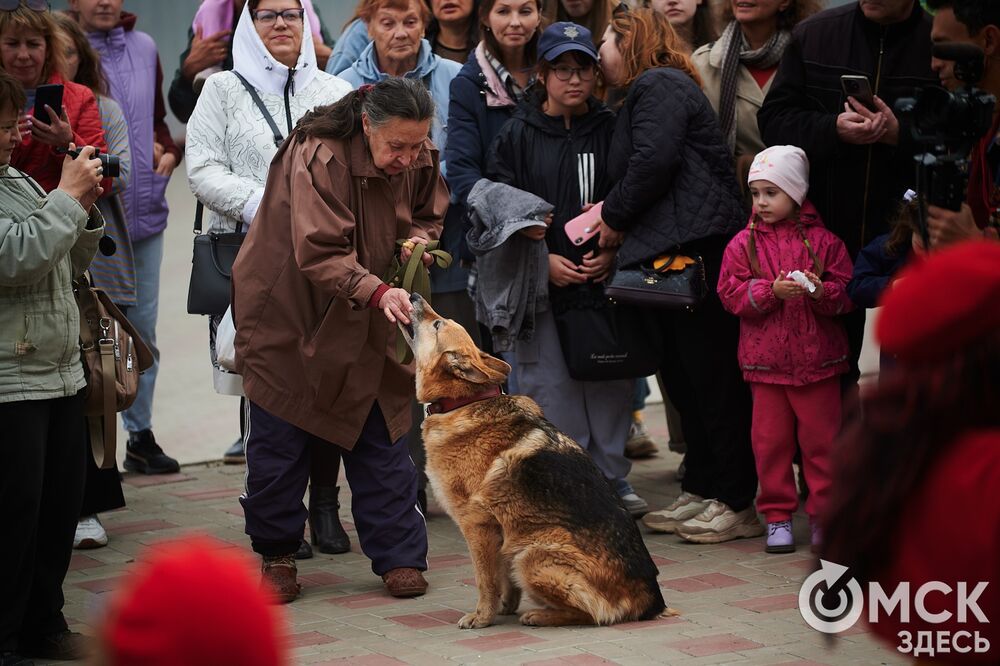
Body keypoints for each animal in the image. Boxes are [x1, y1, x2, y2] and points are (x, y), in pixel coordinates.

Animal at [400, 294, 672, 628]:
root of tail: (650, 600)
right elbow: (503, 578)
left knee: (592, 614)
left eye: (437, 324)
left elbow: (485, 579)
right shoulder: (501, 533)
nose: (413, 296)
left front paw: (483, 616)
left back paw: (540, 615)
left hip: (530, 554)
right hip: (521, 547)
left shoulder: (478, 527)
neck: (464, 402)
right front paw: (505, 605)